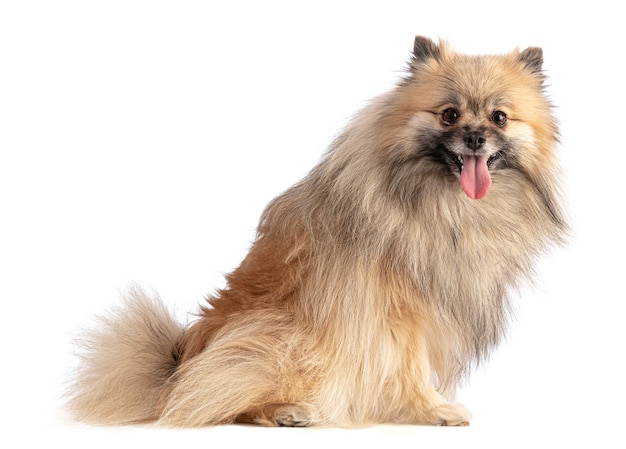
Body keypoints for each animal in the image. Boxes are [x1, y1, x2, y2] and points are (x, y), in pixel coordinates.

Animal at [68, 36, 564, 426]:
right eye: (449, 115)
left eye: (499, 118)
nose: (476, 138)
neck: (448, 206)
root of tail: (174, 367)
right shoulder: (398, 311)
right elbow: (411, 367)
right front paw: (434, 409)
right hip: (287, 340)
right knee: (212, 395)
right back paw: (285, 411)